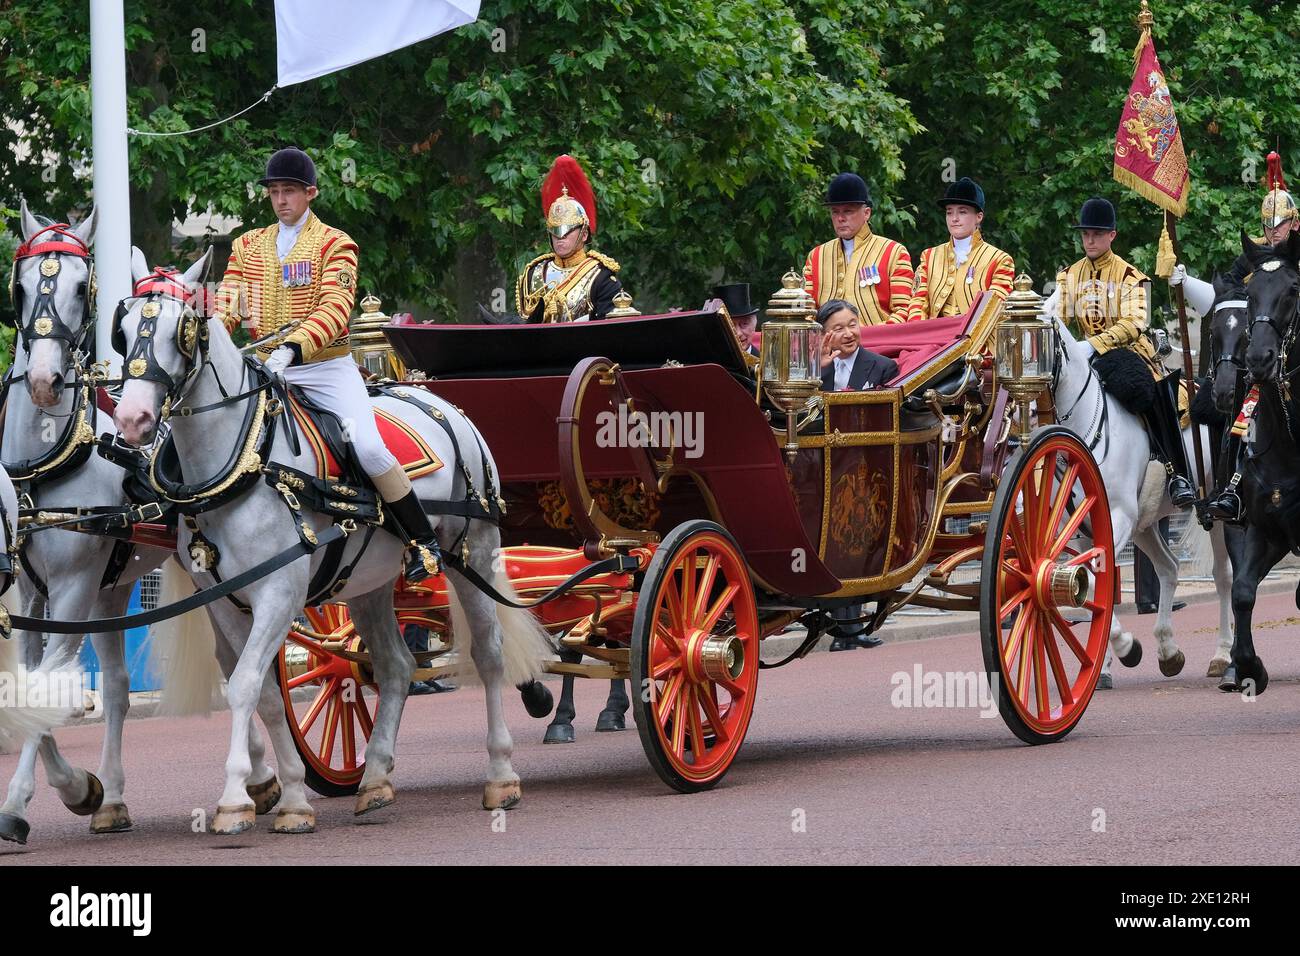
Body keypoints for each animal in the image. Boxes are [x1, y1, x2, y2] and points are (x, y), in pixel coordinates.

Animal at [113, 248, 553, 837]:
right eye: (121, 330)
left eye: (181, 329)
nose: (132, 419)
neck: (243, 462)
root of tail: (436, 401)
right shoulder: (225, 601)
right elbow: (263, 692)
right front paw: (293, 798)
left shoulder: (279, 592)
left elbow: (247, 683)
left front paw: (234, 800)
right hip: (367, 584)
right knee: (395, 666)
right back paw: (375, 780)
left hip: (474, 554)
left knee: (488, 655)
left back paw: (501, 776)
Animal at [1040, 314, 1232, 681]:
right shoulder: (1083, 530)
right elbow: (1090, 586)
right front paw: (1107, 663)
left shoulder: (1118, 517)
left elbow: (1094, 580)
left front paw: (1126, 647)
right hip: (1144, 525)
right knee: (1169, 568)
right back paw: (1168, 651)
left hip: (1213, 510)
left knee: (1224, 574)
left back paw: (1224, 654)